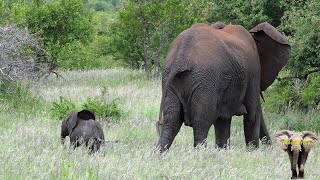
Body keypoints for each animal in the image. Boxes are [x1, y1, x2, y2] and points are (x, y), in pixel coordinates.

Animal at [156, 22, 292, 152]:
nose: (271, 150)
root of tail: (180, 57)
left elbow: (223, 121)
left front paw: (222, 152)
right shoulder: (253, 72)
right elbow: (252, 115)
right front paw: (252, 152)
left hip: (171, 79)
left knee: (171, 123)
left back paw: (160, 154)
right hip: (205, 82)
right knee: (201, 123)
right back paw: (201, 155)